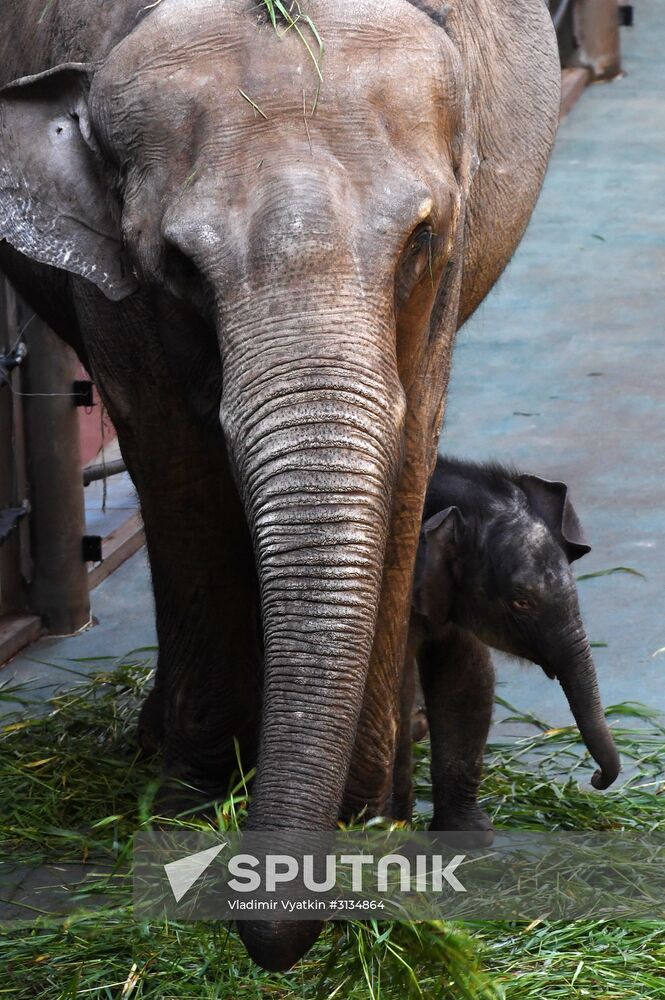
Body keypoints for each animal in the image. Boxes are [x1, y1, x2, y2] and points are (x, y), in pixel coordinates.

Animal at [0, 0, 562, 970]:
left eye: (419, 239)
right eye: (179, 265)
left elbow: (408, 445)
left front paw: (368, 821)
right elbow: (175, 462)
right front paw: (188, 810)